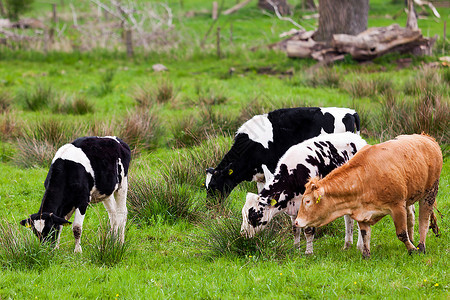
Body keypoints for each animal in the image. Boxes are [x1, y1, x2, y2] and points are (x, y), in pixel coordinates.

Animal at [206, 106, 360, 198]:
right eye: (205, 186)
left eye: (213, 185)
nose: (210, 207)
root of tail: (351, 112)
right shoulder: (260, 175)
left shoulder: (271, 168)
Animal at [296, 134, 442, 258]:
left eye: (307, 201)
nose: (297, 222)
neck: (364, 176)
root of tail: (427, 138)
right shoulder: (362, 213)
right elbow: (365, 235)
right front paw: (366, 255)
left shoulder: (397, 206)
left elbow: (401, 234)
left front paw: (412, 250)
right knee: (411, 218)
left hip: (430, 193)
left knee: (423, 221)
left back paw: (421, 246)